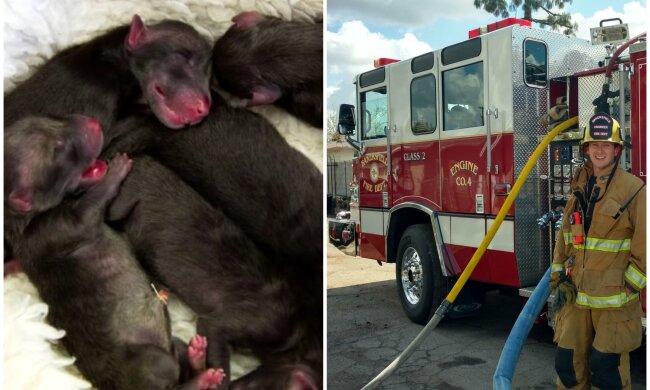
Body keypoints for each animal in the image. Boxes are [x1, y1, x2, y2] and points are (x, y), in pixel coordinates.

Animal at [3, 117, 223, 390]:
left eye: (52, 121)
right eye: (58, 149)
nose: (92, 123)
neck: (20, 220)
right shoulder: (53, 230)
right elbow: (88, 211)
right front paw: (116, 171)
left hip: (172, 345)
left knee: (181, 355)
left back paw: (197, 357)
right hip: (148, 362)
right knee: (174, 382)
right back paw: (202, 378)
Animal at [106, 155, 322, 390]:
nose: (237, 386)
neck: (301, 334)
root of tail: (141, 159)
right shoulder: (261, 319)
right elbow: (214, 331)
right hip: (128, 197)